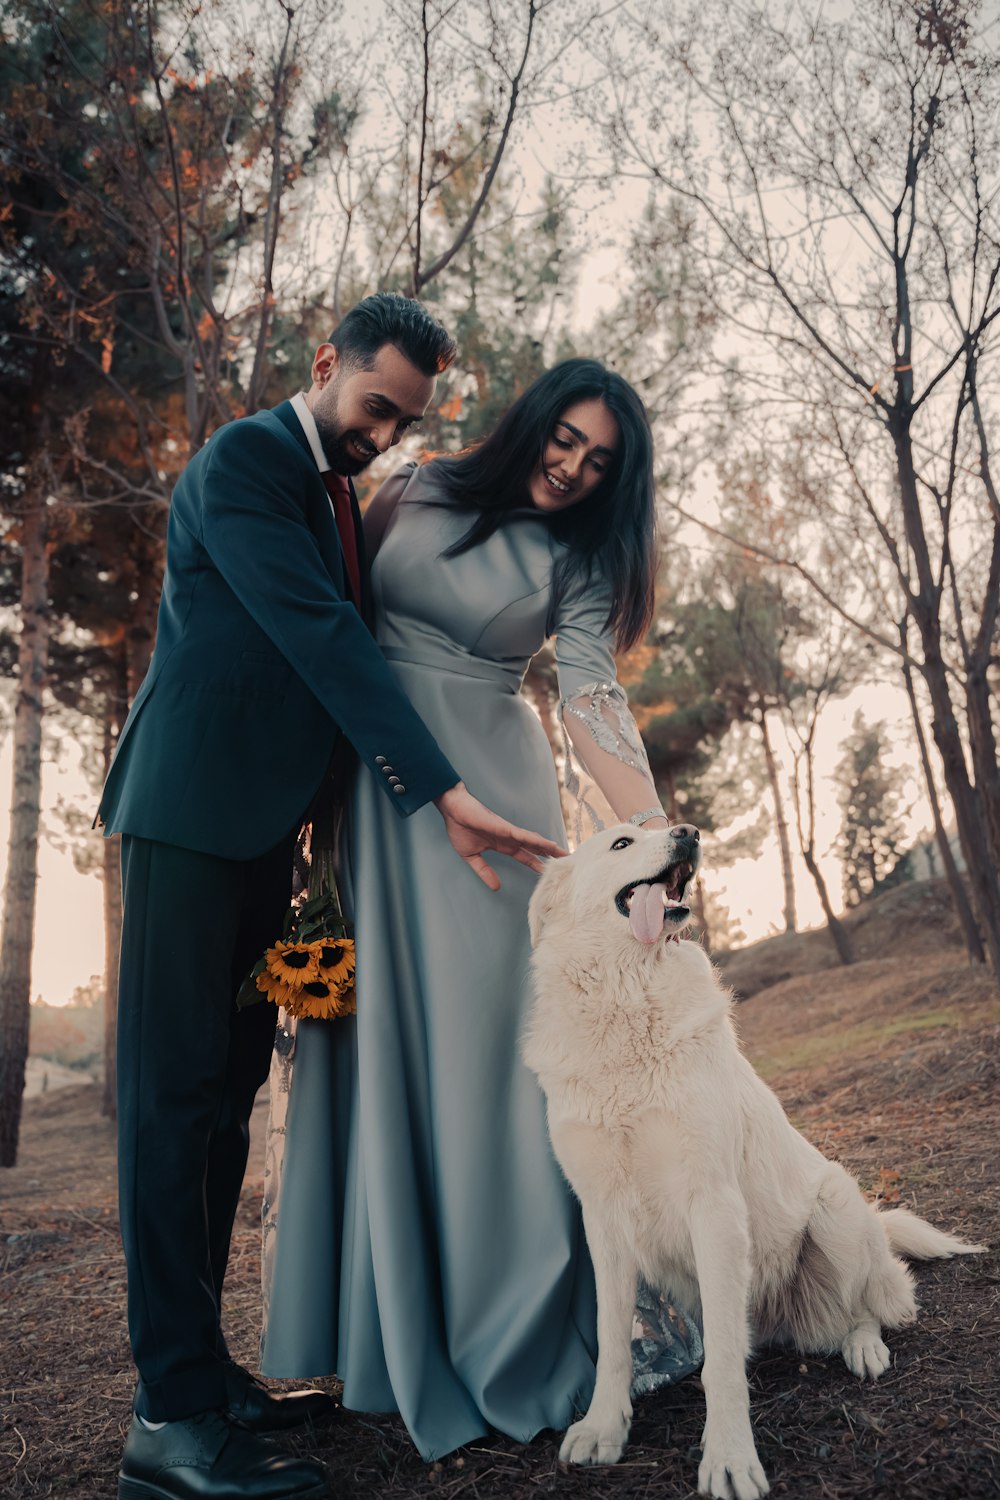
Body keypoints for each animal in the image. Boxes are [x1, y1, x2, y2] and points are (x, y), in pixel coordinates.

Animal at [524, 828, 983, 1494]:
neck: (627, 998)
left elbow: (720, 1365)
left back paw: (865, 1348)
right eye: (622, 841)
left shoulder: (712, 1205)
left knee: (869, 1306)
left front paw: (730, 1458)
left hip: (836, 1208)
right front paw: (603, 1428)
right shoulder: (604, 1220)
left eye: (665, 824)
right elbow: (613, 1343)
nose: (688, 833)